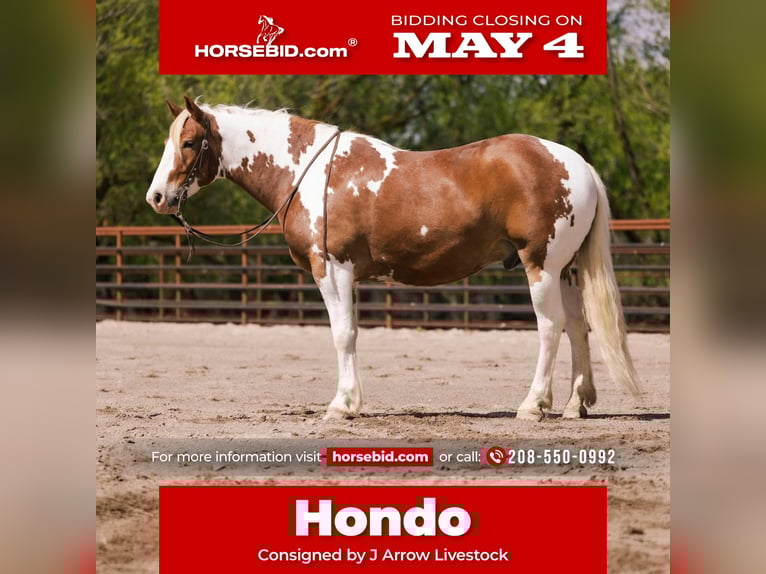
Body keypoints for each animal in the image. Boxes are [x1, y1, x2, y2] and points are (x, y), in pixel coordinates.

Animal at [146, 96, 641, 421]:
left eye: (188, 143)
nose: (157, 197)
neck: (309, 171)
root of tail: (576, 162)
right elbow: (351, 336)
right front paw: (350, 401)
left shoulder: (333, 271)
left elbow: (343, 335)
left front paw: (341, 405)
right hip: (566, 270)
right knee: (577, 326)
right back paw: (576, 405)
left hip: (541, 266)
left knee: (551, 328)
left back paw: (533, 405)